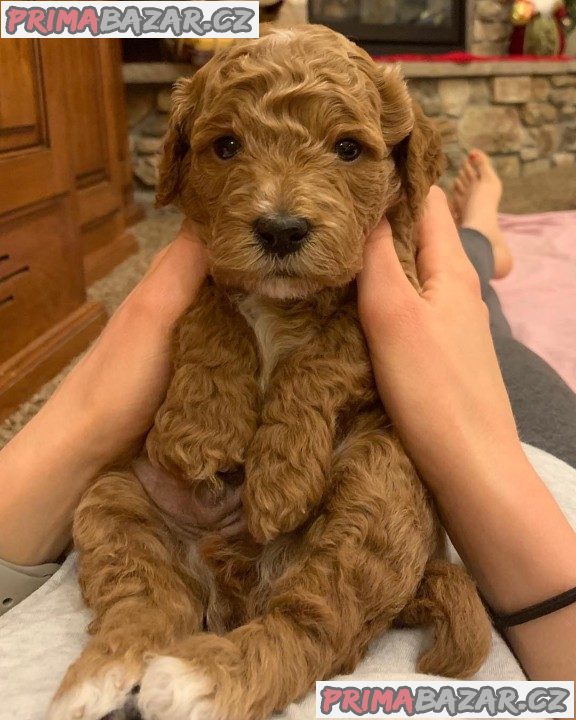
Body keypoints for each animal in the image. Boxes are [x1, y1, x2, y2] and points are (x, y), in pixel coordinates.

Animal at [48, 22, 490, 720]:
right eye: (226, 146)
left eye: (348, 149)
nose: (281, 230)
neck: (280, 300)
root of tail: (236, 585)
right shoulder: (202, 260)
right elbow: (212, 313)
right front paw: (203, 431)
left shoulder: (394, 290)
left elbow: (324, 355)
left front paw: (280, 478)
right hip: (114, 496)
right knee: (147, 601)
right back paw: (97, 680)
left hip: (380, 485)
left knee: (311, 624)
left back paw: (199, 679)